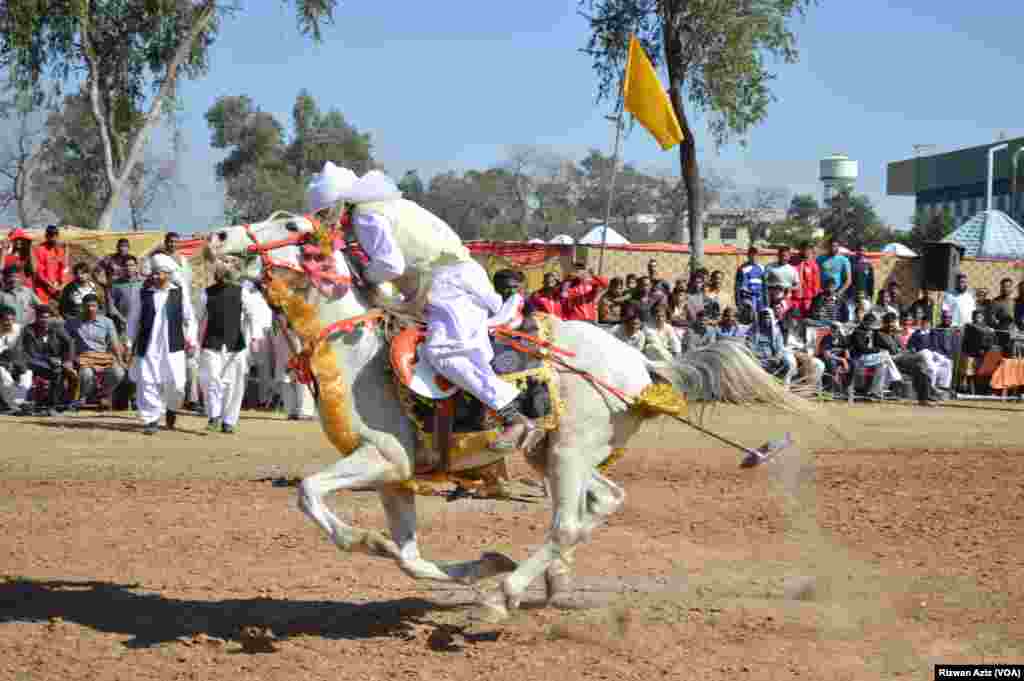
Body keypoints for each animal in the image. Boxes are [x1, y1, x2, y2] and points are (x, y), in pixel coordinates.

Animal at [205, 216, 815, 622]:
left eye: (290, 223)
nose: (218, 237)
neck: (358, 357)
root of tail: (641, 363)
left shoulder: (384, 457)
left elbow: (308, 490)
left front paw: (366, 540)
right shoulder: (397, 477)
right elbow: (409, 557)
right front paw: (479, 565)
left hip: (568, 452)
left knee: (567, 521)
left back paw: (511, 593)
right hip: (553, 453)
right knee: (603, 502)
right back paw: (549, 579)